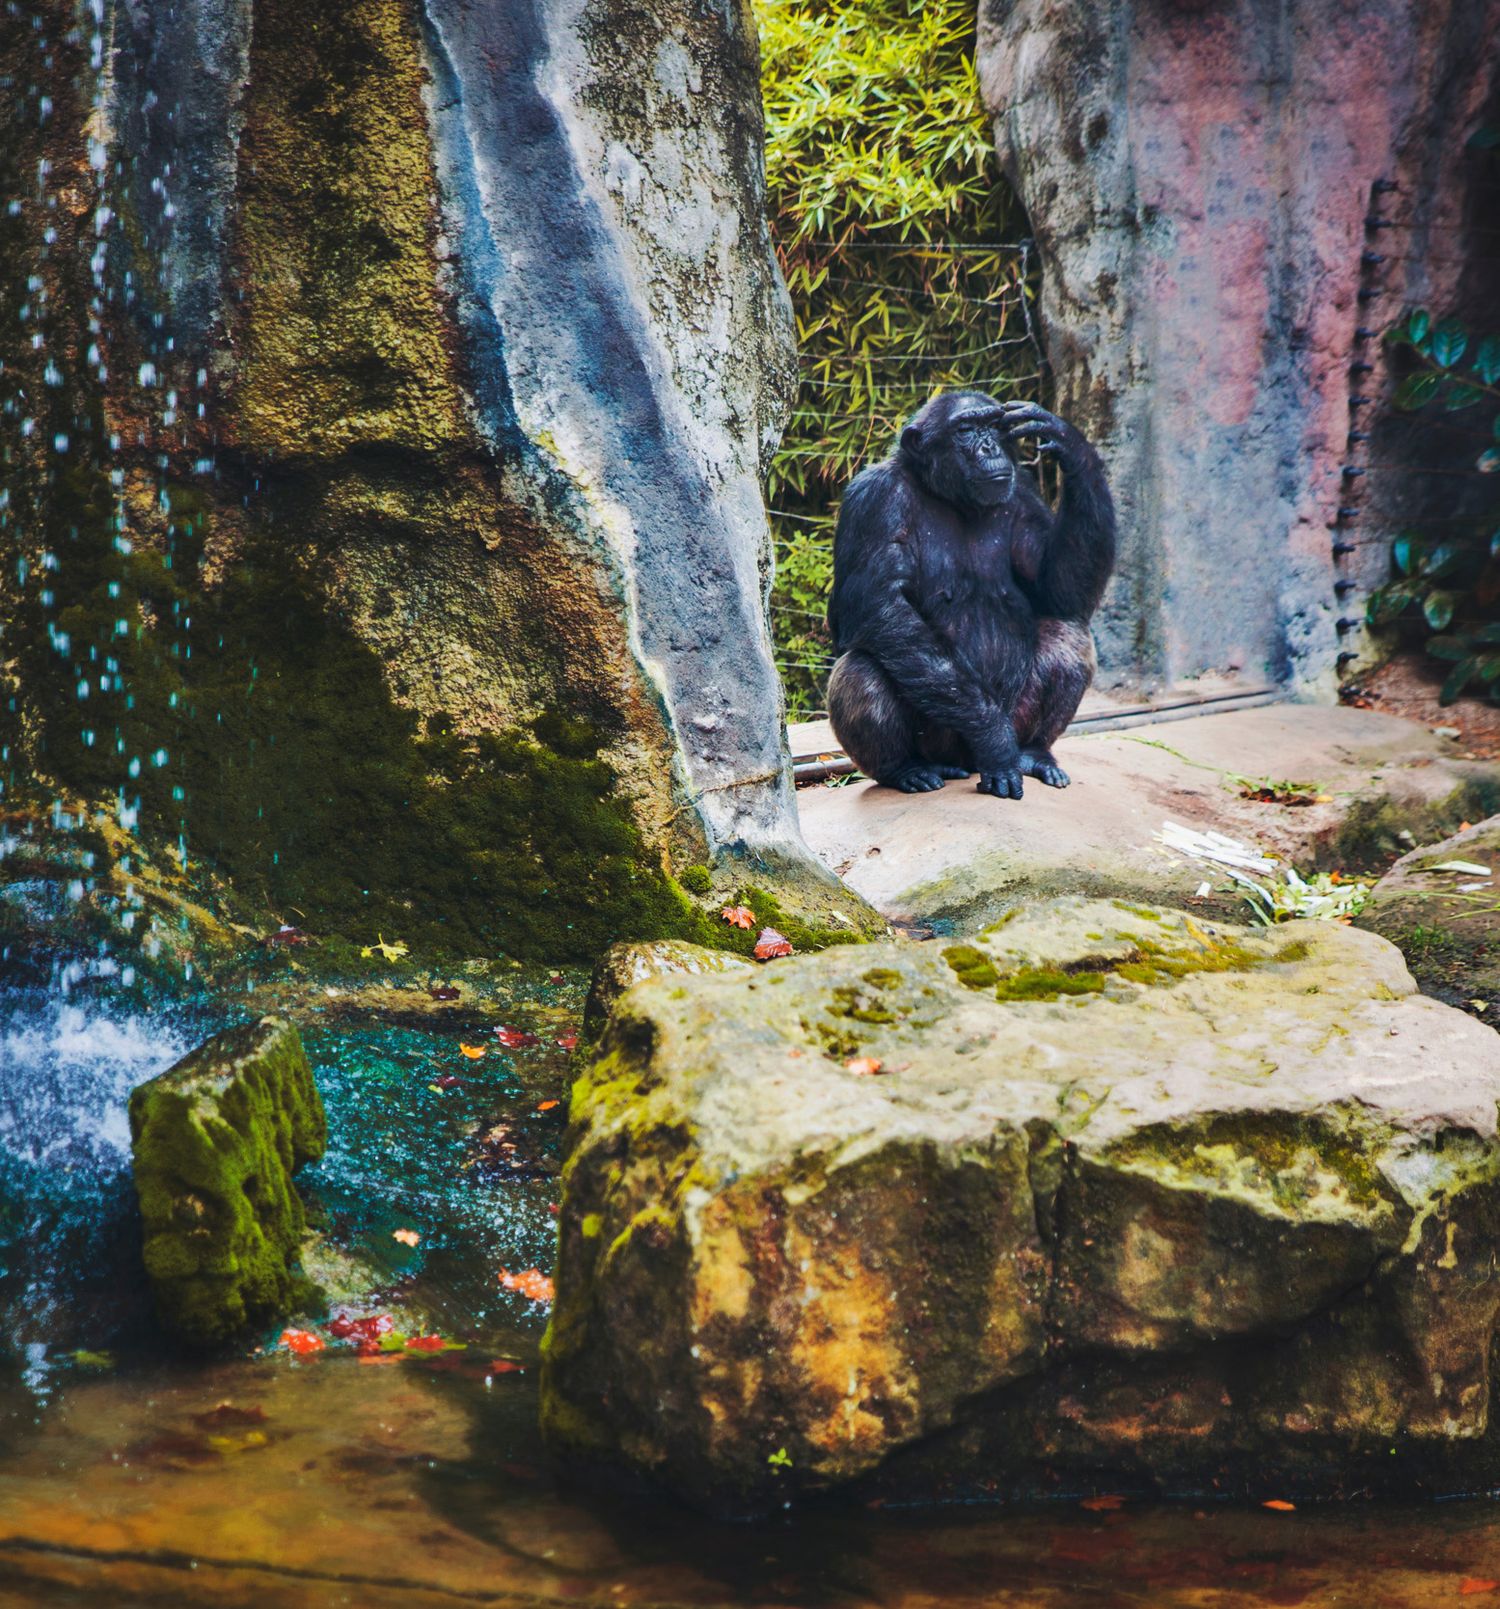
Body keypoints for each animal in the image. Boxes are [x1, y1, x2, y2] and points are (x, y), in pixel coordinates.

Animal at [825, 390, 1115, 799]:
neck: (949, 496)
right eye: (965, 430)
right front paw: (994, 739)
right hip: (940, 740)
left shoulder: (1024, 494)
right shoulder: (873, 500)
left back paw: (1033, 753)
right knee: (860, 667)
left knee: (1068, 632)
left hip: (1016, 715)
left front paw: (1065, 440)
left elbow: (1057, 591)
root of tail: (965, 764)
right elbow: (879, 606)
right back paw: (908, 769)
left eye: (993, 425)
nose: (988, 445)